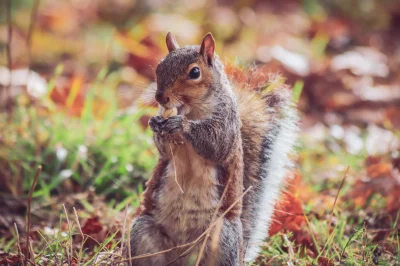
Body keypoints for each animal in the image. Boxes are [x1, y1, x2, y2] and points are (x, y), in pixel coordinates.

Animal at [128, 32, 296, 266]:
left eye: (195, 72)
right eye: (159, 67)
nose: (160, 97)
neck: (191, 109)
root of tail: (183, 258)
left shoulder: (227, 122)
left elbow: (217, 145)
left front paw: (182, 125)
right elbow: (165, 152)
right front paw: (155, 123)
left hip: (223, 238)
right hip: (142, 231)